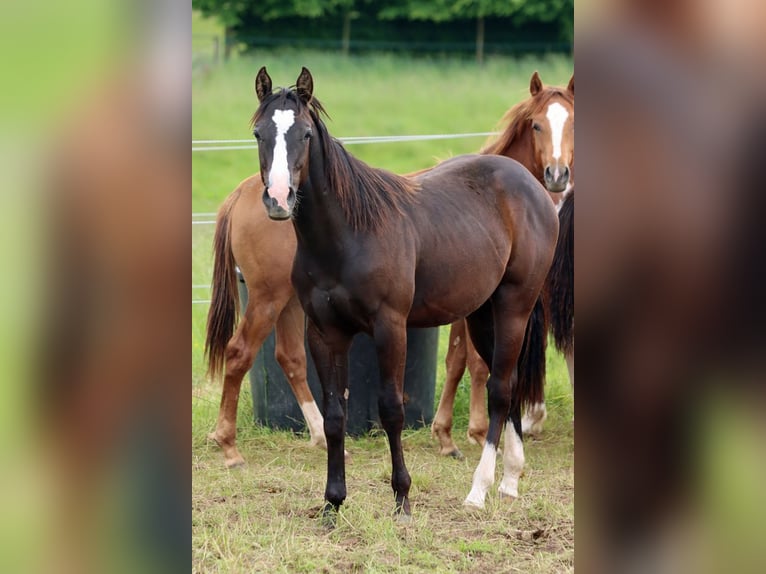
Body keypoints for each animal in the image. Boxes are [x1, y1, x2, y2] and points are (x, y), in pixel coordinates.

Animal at [206, 71, 576, 468]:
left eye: (305, 134)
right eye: (258, 133)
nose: (558, 175)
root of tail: (238, 195)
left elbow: (459, 360)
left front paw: (453, 435)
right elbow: (467, 362)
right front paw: (464, 434)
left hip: (288, 302)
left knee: (288, 358)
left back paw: (315, 436)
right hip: (268, 298)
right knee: (239, 353)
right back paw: (229, 445)